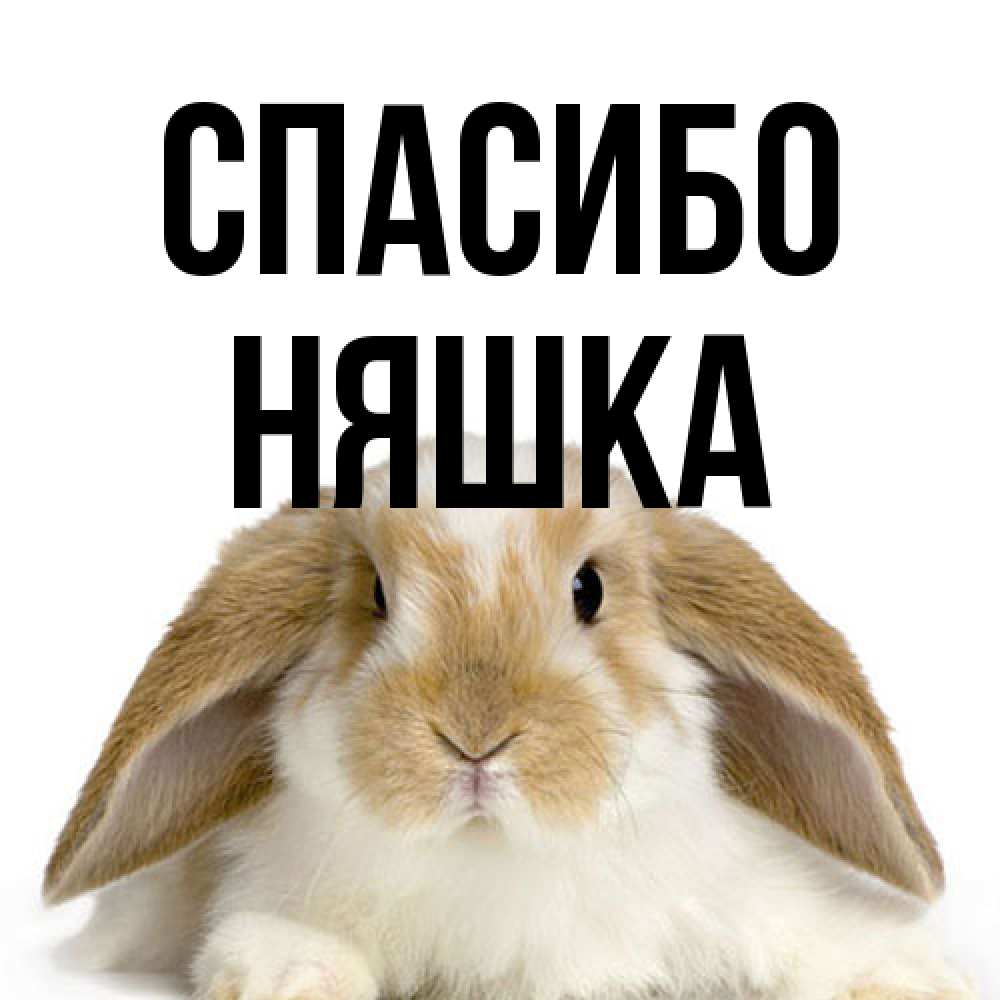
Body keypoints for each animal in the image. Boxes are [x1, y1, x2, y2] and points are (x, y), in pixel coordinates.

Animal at [45, 436, 975, 1000]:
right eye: (375, 595)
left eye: (589, 589)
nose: (475, 737)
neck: (495, 857)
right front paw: (290, 976)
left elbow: (817, 939)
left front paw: (909, 977)